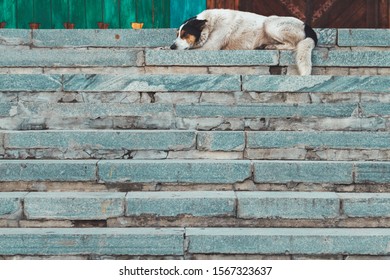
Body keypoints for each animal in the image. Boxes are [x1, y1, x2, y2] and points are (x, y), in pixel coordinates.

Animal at [171, 9, 316, 75]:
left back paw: (270, 46)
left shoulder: (209, 47)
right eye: (177, 34)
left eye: (185, 34)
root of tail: (307, 26)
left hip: (270, 23)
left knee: (292, 45)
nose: (172, 47)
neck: (211, 24)